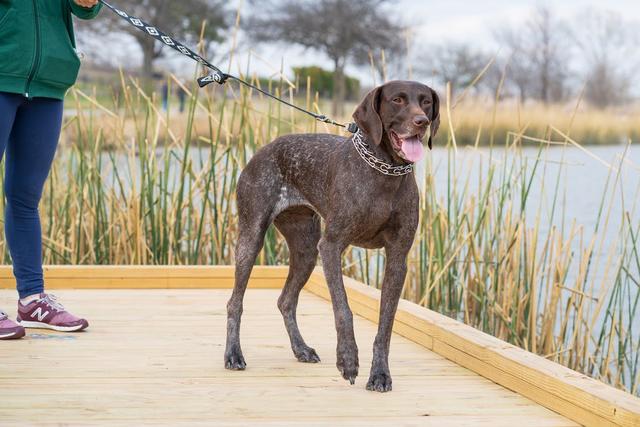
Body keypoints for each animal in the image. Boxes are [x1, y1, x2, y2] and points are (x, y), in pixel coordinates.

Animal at [222, 80, 438, 394]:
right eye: (397, 100)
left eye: (426, 102)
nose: (421, 122)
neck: (385, 171)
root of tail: (264, 150)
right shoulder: (332, 246)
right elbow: (343, 310)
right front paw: (348, 360)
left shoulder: (398, 258)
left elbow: (386, 323)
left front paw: (380, 374)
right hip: (252, 239)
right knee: (235, 303)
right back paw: (233, 355)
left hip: (306, 250)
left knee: (286, 301)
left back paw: (301, 349)